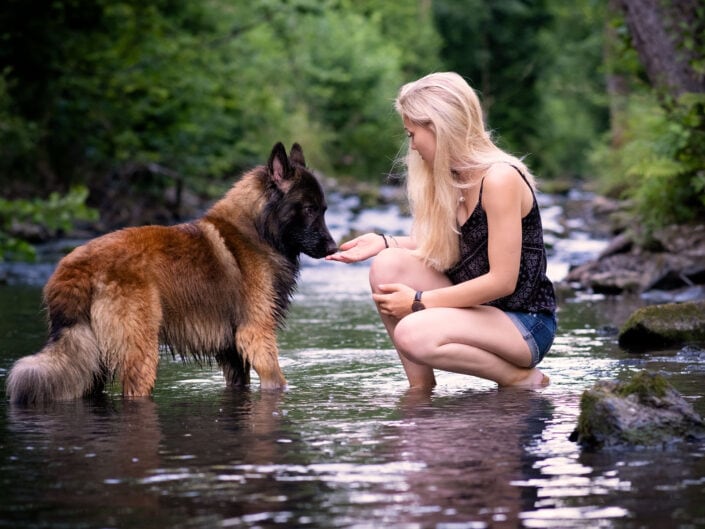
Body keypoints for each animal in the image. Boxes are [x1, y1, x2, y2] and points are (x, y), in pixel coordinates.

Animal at [4, 142, 336, 402]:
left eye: (324, 210)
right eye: (309, 209)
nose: (333, 247)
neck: (257, 231)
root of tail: (74, 268)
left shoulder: (231, 350)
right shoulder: (256, 333)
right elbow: (277, 381)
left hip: (92, 361)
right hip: (141, 351)